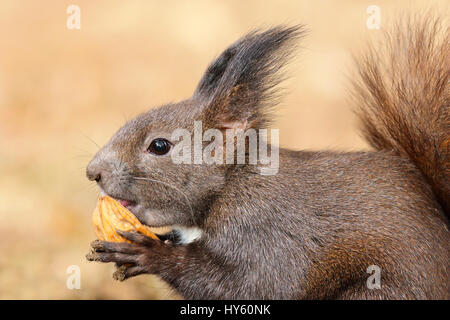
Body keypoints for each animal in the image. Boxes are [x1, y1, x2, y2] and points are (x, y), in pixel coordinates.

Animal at [86, 15, 448, 300]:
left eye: (159, 146)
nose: (93, 172)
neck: (231, 184)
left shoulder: (265, 230)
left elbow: (253, 286)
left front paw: (149, 253)